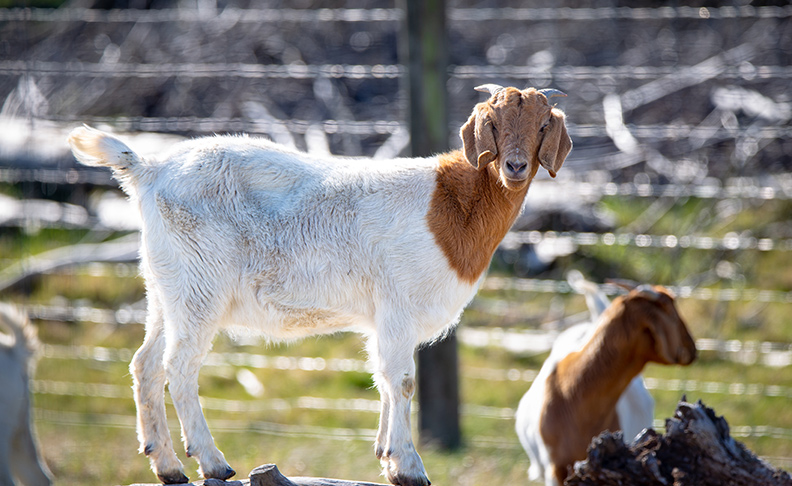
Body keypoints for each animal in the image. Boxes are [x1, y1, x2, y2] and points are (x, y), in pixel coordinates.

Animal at [68, 85, 572, 484]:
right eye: (492, 123)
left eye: (543, 124)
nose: (515, 167)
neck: (452, 205)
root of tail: (149, 169)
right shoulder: (398, 306)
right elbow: (403, 381)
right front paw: (409, 467)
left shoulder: (382, 318)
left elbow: (384, 380)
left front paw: (385, 456)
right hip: (200, 288)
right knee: (179, 367)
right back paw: (212, 462)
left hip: (164, 288)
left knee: (145, 364)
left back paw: (168, 466)